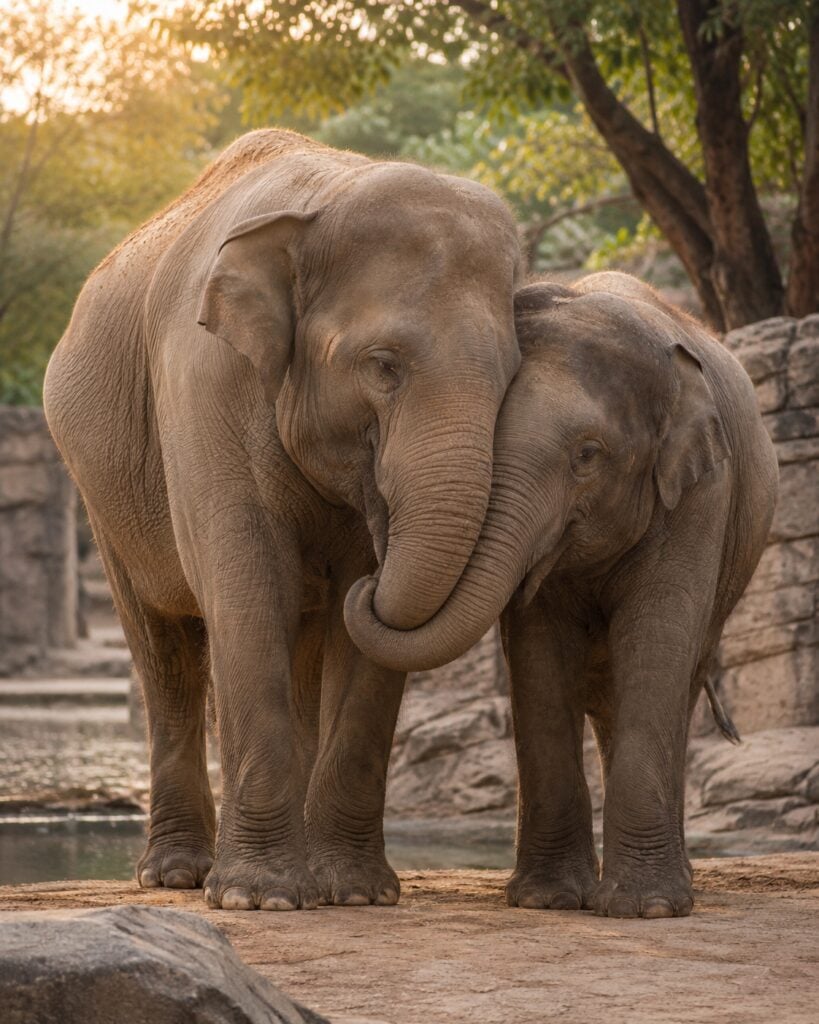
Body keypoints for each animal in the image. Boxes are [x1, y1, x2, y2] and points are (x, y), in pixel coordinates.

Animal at [44, 129, 522, 911]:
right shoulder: (205, 384)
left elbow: (362, 647)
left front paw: (356, 895)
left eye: (513, 374)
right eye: (382, 365)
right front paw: (257, 897)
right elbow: (246, 581)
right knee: (165, 651)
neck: (325, 197)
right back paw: (178, 875)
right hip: (100, 490)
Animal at [345, 272, 779, 918]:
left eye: (588, 456)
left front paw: (645, 908)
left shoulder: (703, 494)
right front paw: (547, 900)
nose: (368, 576)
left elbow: (657, 640)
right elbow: (539, 652)